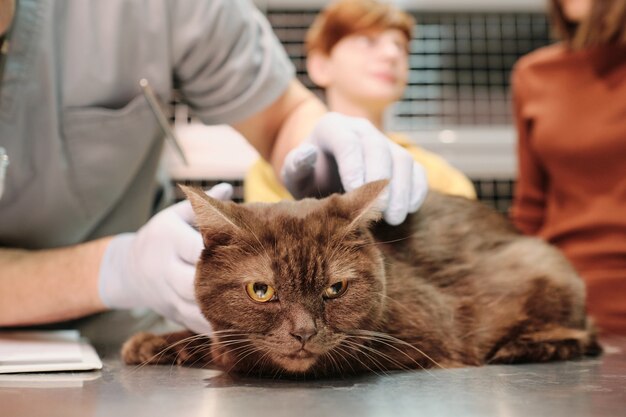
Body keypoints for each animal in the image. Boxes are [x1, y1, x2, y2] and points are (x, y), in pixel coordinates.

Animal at [123, 180, 600, 376]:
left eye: (335, 289)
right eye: (262, 291)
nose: (303, 333)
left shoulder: (423, 338)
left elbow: (236, 353)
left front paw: (210, 351)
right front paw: (157, 343)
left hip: (539, 261)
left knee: (584, 334)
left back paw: (526, 346)